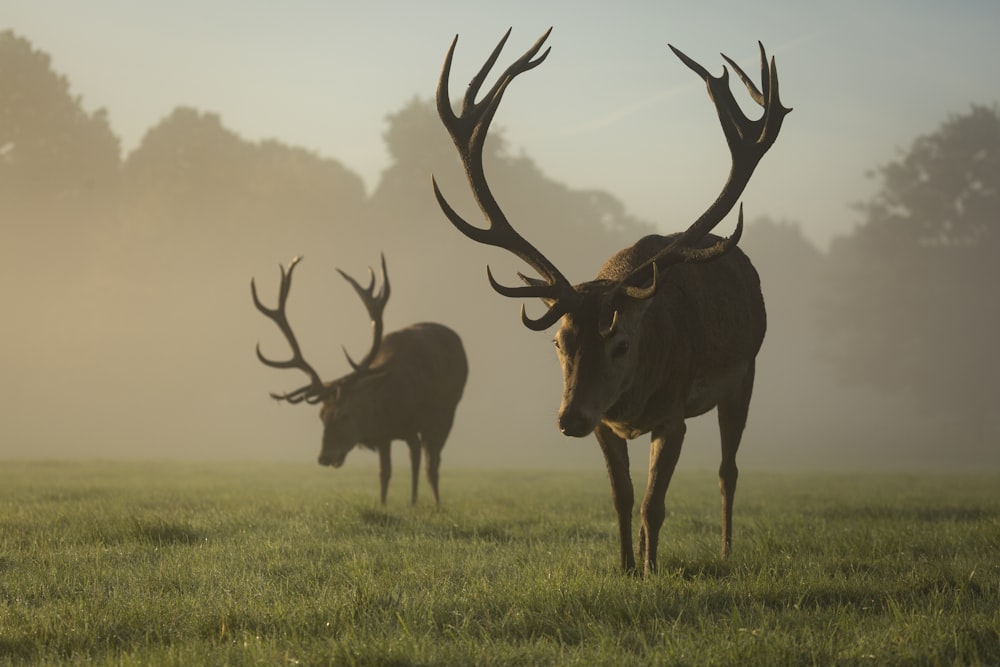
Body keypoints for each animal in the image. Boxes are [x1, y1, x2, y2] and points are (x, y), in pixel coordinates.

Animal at [250, 256, 468, 506]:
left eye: (345, 414)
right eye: (321, 416)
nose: (324, 457)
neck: (386, 403)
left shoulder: (415, 424)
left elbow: (422, 465)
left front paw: (431, 505)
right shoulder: (386, 433)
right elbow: (384, 472)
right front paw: (383, 504)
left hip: (447, 411)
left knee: (432, 463)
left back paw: (435, 503)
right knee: (415, 456)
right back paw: (413, 502)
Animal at [434, 28, 792, 576]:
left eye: (620, 341)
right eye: (559, 343)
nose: (568, 419)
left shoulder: (673, 417)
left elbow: (654, 504)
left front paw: (651, 571)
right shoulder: (606, 425)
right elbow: (622, 498)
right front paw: (626, 567)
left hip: (745, 374)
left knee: (728, 469)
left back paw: (727, 550)